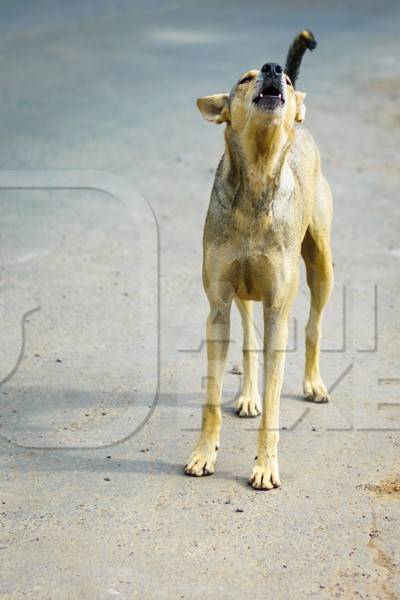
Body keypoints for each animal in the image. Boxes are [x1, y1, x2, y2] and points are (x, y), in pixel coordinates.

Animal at [186, 28, 332, 490]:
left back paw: (313, 383)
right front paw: (203, 454)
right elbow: (212, 398)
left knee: (314, 327)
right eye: (245, 77)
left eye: (279, 79)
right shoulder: (217, 305)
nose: (274, 68)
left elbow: (274, 400)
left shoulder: (277, 311)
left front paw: (266, 466)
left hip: (321, 264)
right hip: (243, 293)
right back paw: (247, 395)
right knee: (248, 343)